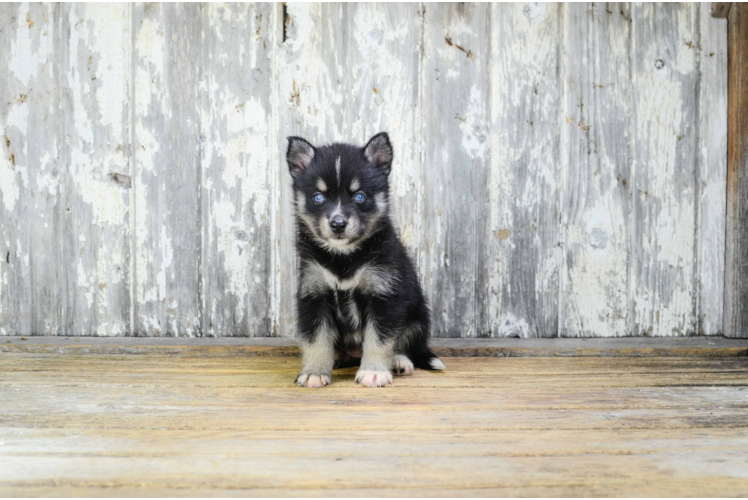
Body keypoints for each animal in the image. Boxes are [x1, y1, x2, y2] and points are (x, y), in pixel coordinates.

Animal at [286, 132, 444, 386]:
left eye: (359, 196)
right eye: (318, 197)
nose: (338, 224)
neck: (344, 257)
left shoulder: (384, 295)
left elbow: (379, 338)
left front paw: (373, 371)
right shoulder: (314, 294)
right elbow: (316, 339)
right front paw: (314, 372)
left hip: (418, 315)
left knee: (405, 343)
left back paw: (399, 361)